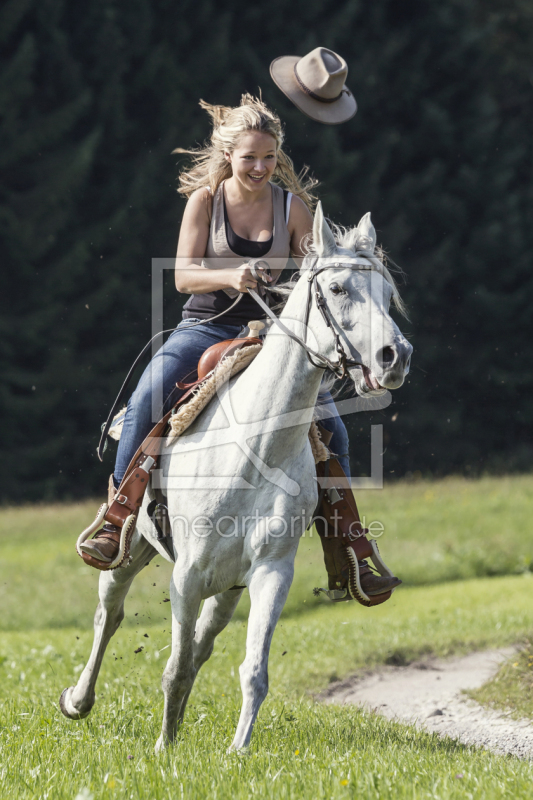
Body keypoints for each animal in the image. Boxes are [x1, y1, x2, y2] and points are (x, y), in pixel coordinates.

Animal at [61, 205, 412, 752]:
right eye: (336, 289)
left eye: (385, 292)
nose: (395, 356)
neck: (257, 449)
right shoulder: (186, 575)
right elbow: (174, 667)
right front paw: (163, 748)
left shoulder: (270, 571)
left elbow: (251, 669)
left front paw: (237, 749)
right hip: (131, 549)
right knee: (109, 613)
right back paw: (78, 700)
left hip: (228, 586)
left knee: (203, 641)